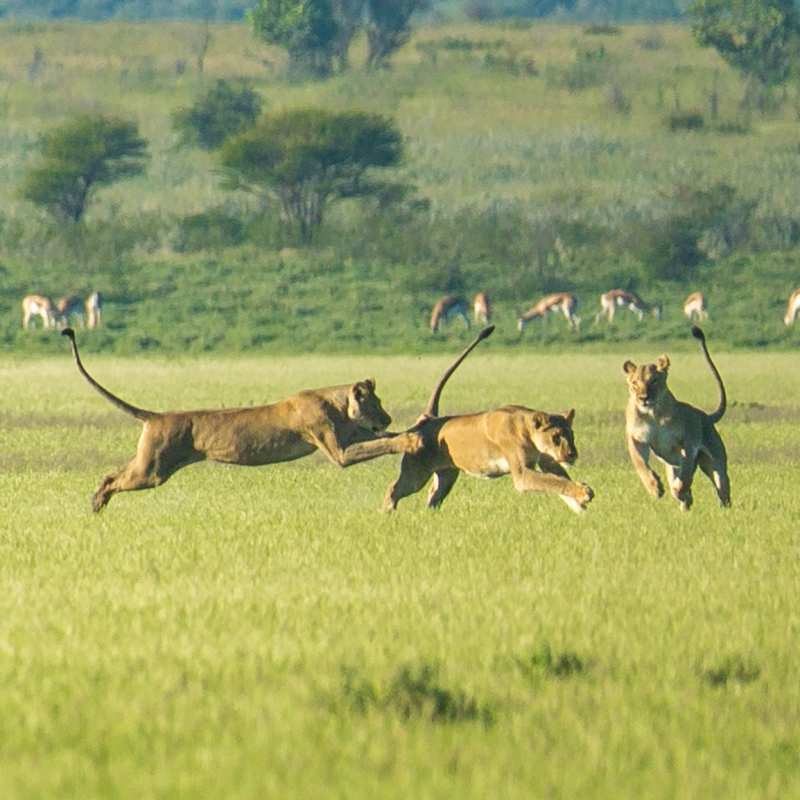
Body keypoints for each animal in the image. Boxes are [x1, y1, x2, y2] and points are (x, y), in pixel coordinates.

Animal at [62, 328, 459, 512]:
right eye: (376, 404)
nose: (387, 415)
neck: (337, 405)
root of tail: (158, 416)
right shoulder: (338, 451)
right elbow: (381, 442)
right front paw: (409, 438)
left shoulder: (347, 440)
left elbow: (380, 439)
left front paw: (411, 430)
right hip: (153, 469)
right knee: (113, 479)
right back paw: (97, 504)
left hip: (149, 463)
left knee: (111, 474)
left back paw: (96, 506)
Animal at [381, 331, 593, 514]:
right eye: (556, 437)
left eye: (572, 436)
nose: (572, 454)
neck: (526, 429)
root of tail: (428, 418)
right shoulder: (522, 473)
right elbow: (552, 482)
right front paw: (584, 493)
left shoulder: (548, 461)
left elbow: (559, 480)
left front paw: (580, 507)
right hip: (416, 474)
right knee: (393, 489)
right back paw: (387, 513)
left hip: (446, 475)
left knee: (433, 496)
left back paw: (431, 515)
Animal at [623, 326, 730, 511]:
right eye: (634, 383)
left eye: (654, 381)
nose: (643, 398)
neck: (653, 413)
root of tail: (705, 416)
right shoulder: (637, 438)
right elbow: (640, 464)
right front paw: (654, 488)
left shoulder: (689, 442)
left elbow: (686, 472)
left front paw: (679, 489)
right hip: (671, 466)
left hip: (716, 463)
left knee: (722, 490)